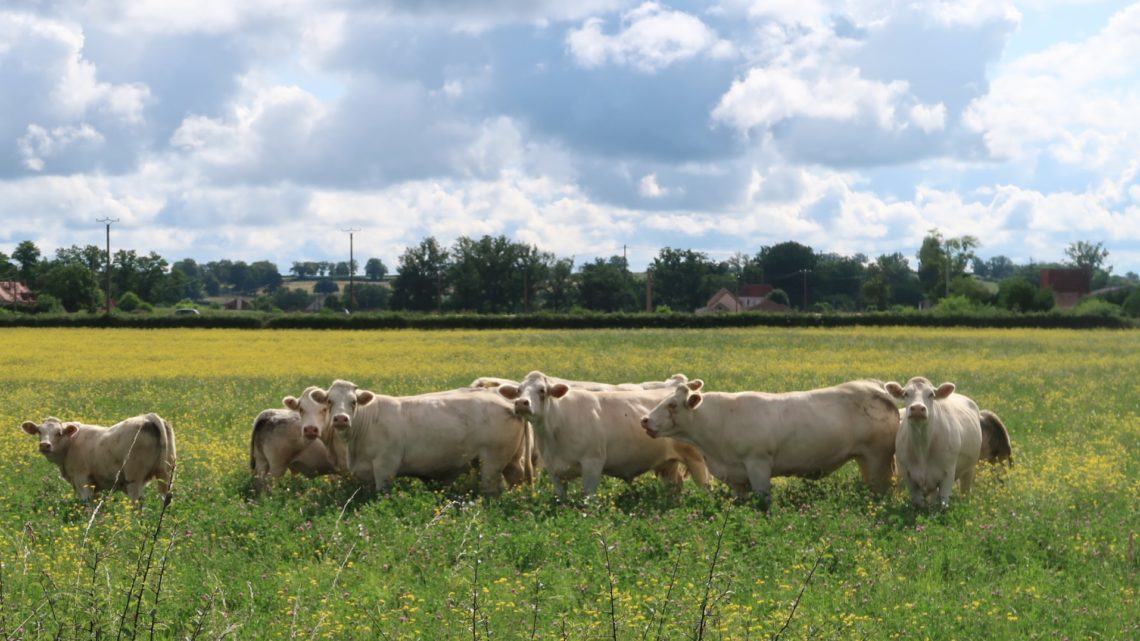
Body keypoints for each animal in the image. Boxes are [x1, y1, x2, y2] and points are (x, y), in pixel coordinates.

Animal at [20, 410, 175, 501]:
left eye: (59, 433)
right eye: (39, 431)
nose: (44, 445)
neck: (70, 443)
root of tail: (149, 416)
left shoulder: (82, 479)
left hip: (134, 478)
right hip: (166, 473)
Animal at [294, 378, 524, 495]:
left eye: (354, 402)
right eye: (329, 401)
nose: (341, 419)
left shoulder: (385, 467)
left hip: (492, 462)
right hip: (507, 461)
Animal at [494, 369, 706, 499]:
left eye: (542, 390)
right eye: (519, 390)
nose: (521, 403)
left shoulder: (592, 465)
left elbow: (587, 500)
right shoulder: (554, 471)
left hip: (697, 459)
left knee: (705, 486)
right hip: (667, 464)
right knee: (676, 485)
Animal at [642, 376, 898, 506]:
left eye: (672, 405)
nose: (645, 420)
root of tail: (876, 386)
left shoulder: (758, 464)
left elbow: (763, 502)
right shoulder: (736, 477)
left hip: (878, 458)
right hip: (865, 459)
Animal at [884, 374, 1012, 508]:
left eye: (931, 394)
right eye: (905, 394)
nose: (918, 409)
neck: (922, 448)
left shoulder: (948, 474)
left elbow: (943, 505)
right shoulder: (908, 476)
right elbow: (919, 504)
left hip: (969, 470)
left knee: (965, 491)